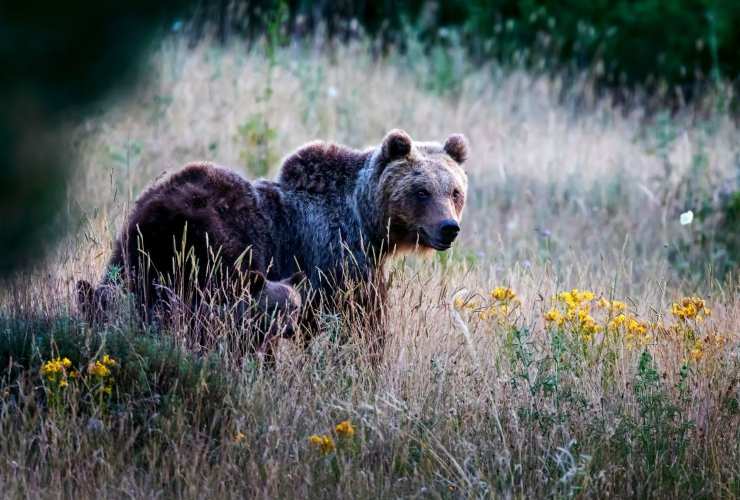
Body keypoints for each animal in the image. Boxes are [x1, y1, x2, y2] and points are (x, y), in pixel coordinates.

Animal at [86, 130, 468, 360]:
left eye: (454, 191)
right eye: (421, 191)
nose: (448, 228)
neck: (366, 222)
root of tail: (157, 210)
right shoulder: (338, 259)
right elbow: (359, 324)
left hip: (140, 249)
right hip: (214, 249)